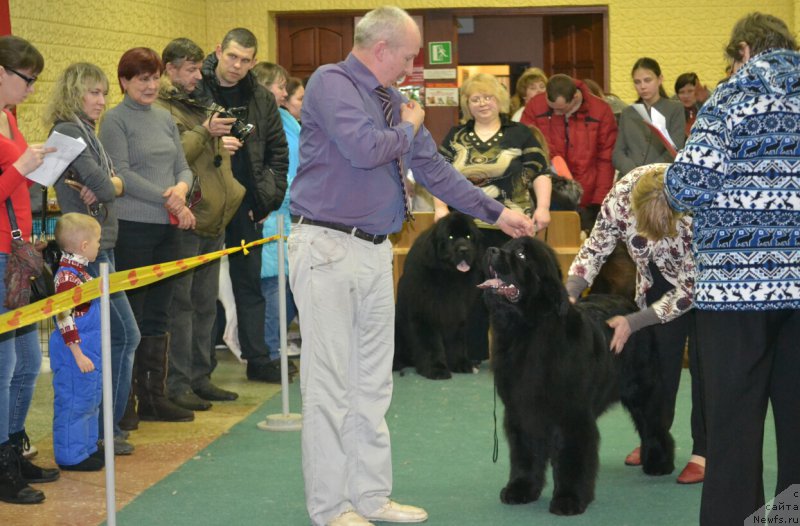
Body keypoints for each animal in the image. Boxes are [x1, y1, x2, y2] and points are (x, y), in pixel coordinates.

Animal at [392, 212, 482, 382]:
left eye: (468, 236)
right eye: (451, 236)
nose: (464, 249)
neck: (448, 277)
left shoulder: (456, 313)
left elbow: (457, 342)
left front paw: (461, 364)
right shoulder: (426, 314)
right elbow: (430, 344)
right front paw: (436, 369)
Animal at [482, 237, 676, 516]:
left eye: (520, 255)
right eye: (505, 245)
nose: (490, 250)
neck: (526, 331)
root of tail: (630, 305)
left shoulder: (571, 416)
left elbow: (572, 458)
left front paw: (568, 499)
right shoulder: (521, 411)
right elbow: (525, 453)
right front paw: (521, 489)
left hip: (643, 388)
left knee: (654, 424)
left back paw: (659, 463)